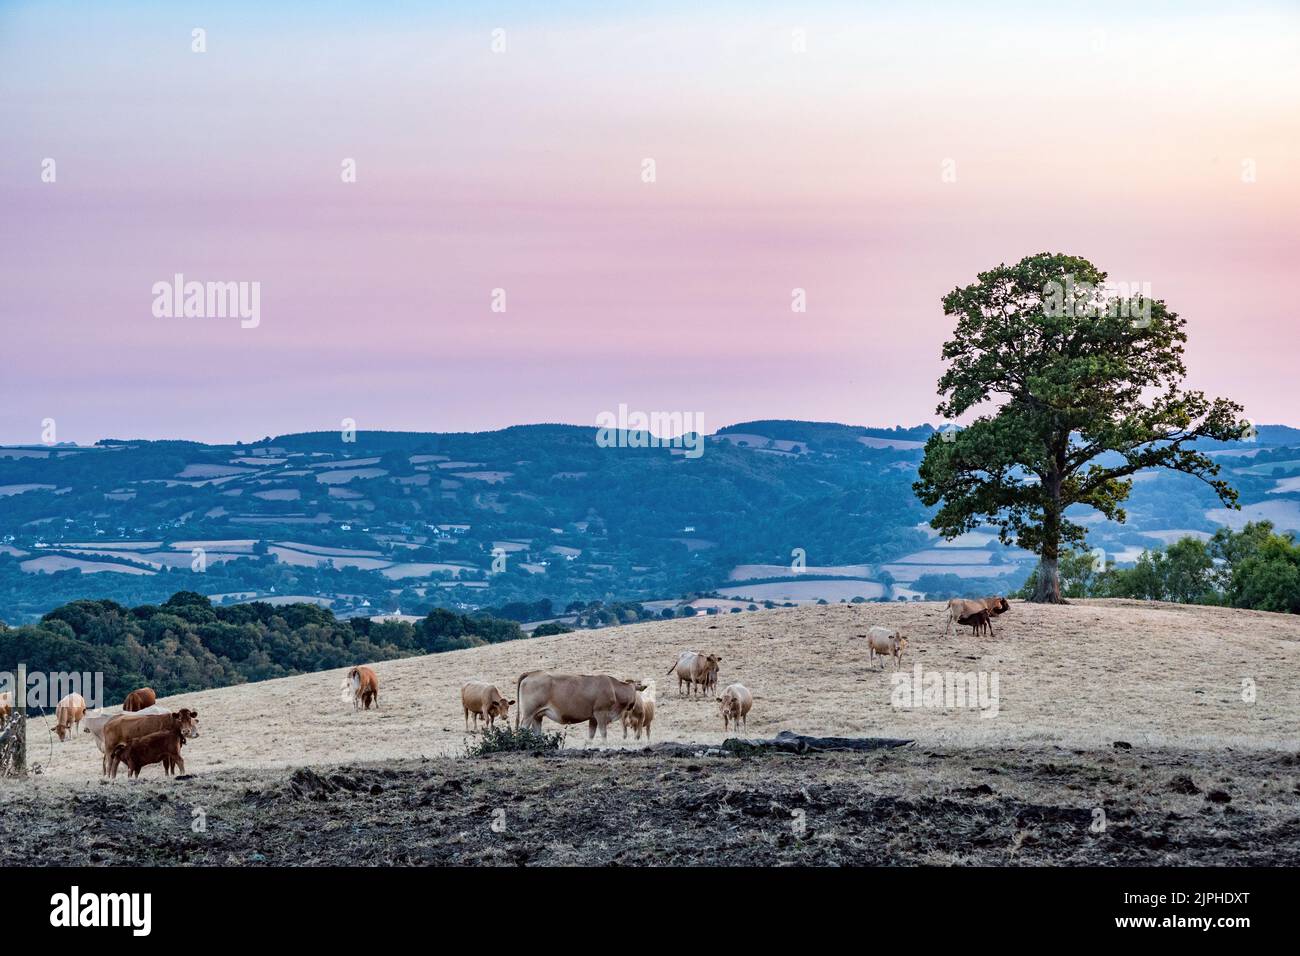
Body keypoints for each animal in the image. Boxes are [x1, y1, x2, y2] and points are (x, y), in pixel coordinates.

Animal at [512, 671, 644, 743]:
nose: (633, 705)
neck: (613, 688)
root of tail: (532, 673)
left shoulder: (593, 718)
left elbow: (591, 735)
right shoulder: (601, 713)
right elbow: (603, 732)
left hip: (537, 715)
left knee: (537, 733)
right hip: (528, 714)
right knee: (523, 728)